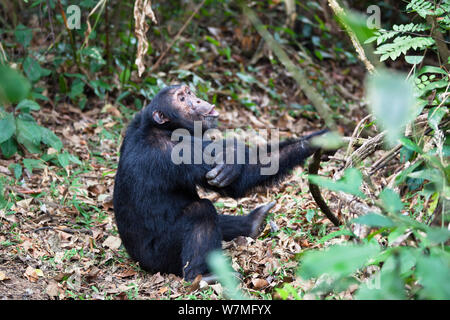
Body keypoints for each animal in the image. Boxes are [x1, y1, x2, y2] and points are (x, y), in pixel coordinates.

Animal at [112, 84, 326, 280]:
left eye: (188, 93)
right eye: (182, 99)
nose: (197, 100)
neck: (162, 128)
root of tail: (138, 262)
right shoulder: (176, 150)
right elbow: (239, 180)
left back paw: (253, 221)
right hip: (161, 257)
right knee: (201, 211)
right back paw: (201, 276)